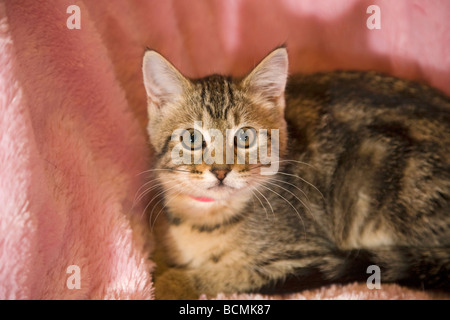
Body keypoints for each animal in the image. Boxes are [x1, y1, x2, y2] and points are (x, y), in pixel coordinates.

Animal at [142, 46, 448, 298]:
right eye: (192, 139)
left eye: (245, 137)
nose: (220, 171)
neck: (207, 217)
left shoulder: (302, 258)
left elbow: (224, 275)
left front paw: (171, 283)